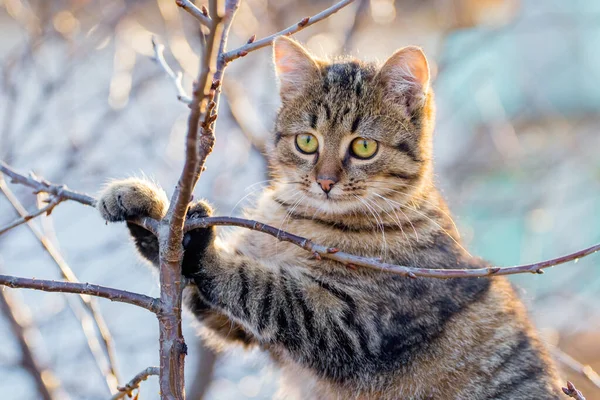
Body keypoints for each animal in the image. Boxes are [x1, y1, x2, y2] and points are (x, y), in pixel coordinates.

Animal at [97, 36, 564, 398]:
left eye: (363, 147)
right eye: (307, 141)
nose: (324, 181)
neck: (299, 220)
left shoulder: (353, 324)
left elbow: (256, 286)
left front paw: (198, 246)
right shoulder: (237, 325)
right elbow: (206, 288)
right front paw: (143, 204)